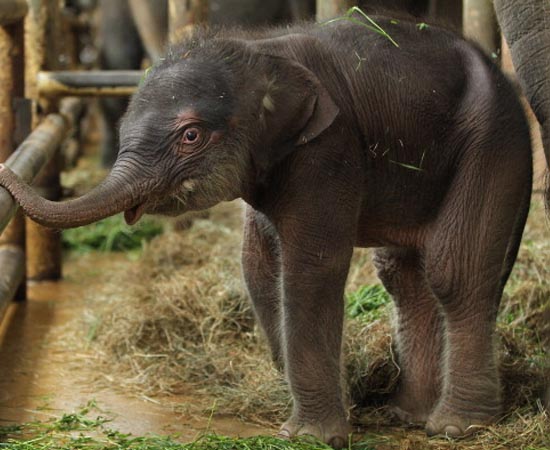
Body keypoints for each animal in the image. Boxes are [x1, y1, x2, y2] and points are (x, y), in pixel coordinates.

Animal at [0, 10, 544, 446]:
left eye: (191, 135)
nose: (7, 170)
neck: (261, 52)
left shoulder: (328, 148)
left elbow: (308, 269)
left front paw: (312, 436)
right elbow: (259, 267)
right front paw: (337, 410)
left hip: (491, 146)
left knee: (454, 271)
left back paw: (456, 426)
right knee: (403, 278)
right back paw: (406, 414)